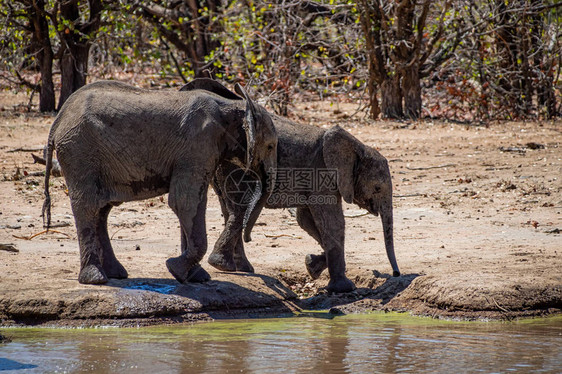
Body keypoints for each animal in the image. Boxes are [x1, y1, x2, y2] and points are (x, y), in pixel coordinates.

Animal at [42, 79, 276, 284]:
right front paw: (175, 269)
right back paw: (96, 279)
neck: (234, 105)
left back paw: (116, 274)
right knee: (89, 207)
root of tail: (58, 121)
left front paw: (196, 277)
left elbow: (192, 204)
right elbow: (184, 203)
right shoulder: (198, 145)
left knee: (102, 210)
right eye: (271, 146)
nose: (249, 239)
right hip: (79, 151)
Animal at [207, 112, 398, 294]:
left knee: (230, 210)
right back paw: (225, 265)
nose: (396, 274)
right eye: (377, 188)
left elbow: (305, 220)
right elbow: (333, 223)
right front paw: (344, 288)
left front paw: (311, 265)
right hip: (238, 169)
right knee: (240, 209)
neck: (357, 146)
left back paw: (239, 268)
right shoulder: (322, 173)